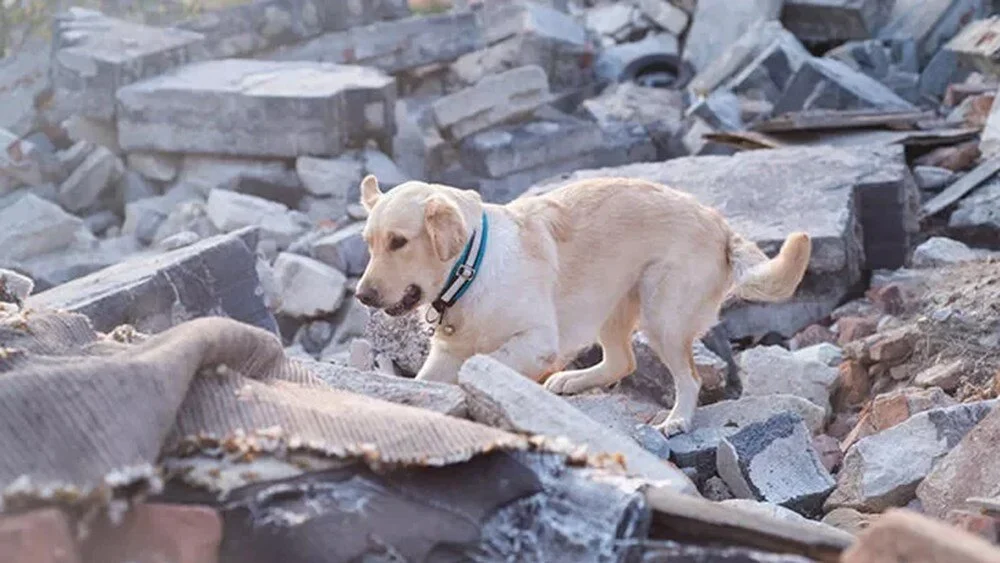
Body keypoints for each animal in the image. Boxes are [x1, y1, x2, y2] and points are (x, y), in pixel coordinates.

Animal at [356, 175, 808, 436]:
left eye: (399, 241)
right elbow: (425, 382)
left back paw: (678, 419)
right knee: (622, 361)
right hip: (610, 303)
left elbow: (486, 362)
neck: (472, 267)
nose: (362, 296)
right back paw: (572, 381)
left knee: (690, 379)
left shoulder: (537, 341)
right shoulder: (445, 353)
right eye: (369, 243)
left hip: (662, 315)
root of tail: (719, 223)